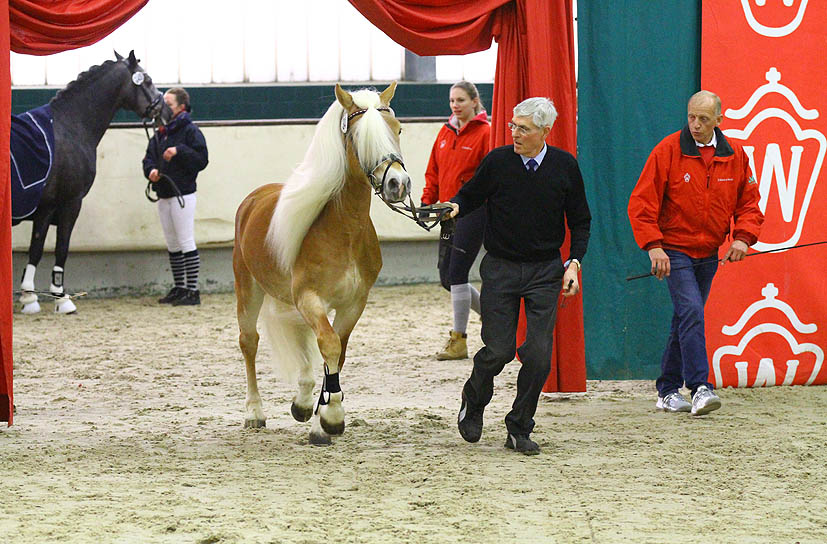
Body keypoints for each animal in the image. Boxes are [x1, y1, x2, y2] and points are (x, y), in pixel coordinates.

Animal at [14, 52, 167, 314]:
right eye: (146, 80)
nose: (164, 109)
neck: (69, 126)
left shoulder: (48, 208)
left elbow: (38, 249)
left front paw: (30, 298)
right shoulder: (66, 203)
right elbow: (57, 248)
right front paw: (58, 298)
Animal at [234, 83, 410, 444]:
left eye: (398, 129)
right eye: (359, 137)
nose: (398, 184)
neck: (344, 230)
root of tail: (253, 199)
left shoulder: (353, 303)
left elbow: (337, 351)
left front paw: (321, 419)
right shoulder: (309, 298)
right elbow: (328, 344)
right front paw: (330, 416)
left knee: (303, 342)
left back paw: (302, 401)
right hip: (248, 289)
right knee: (249, 343)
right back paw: (254, 412)